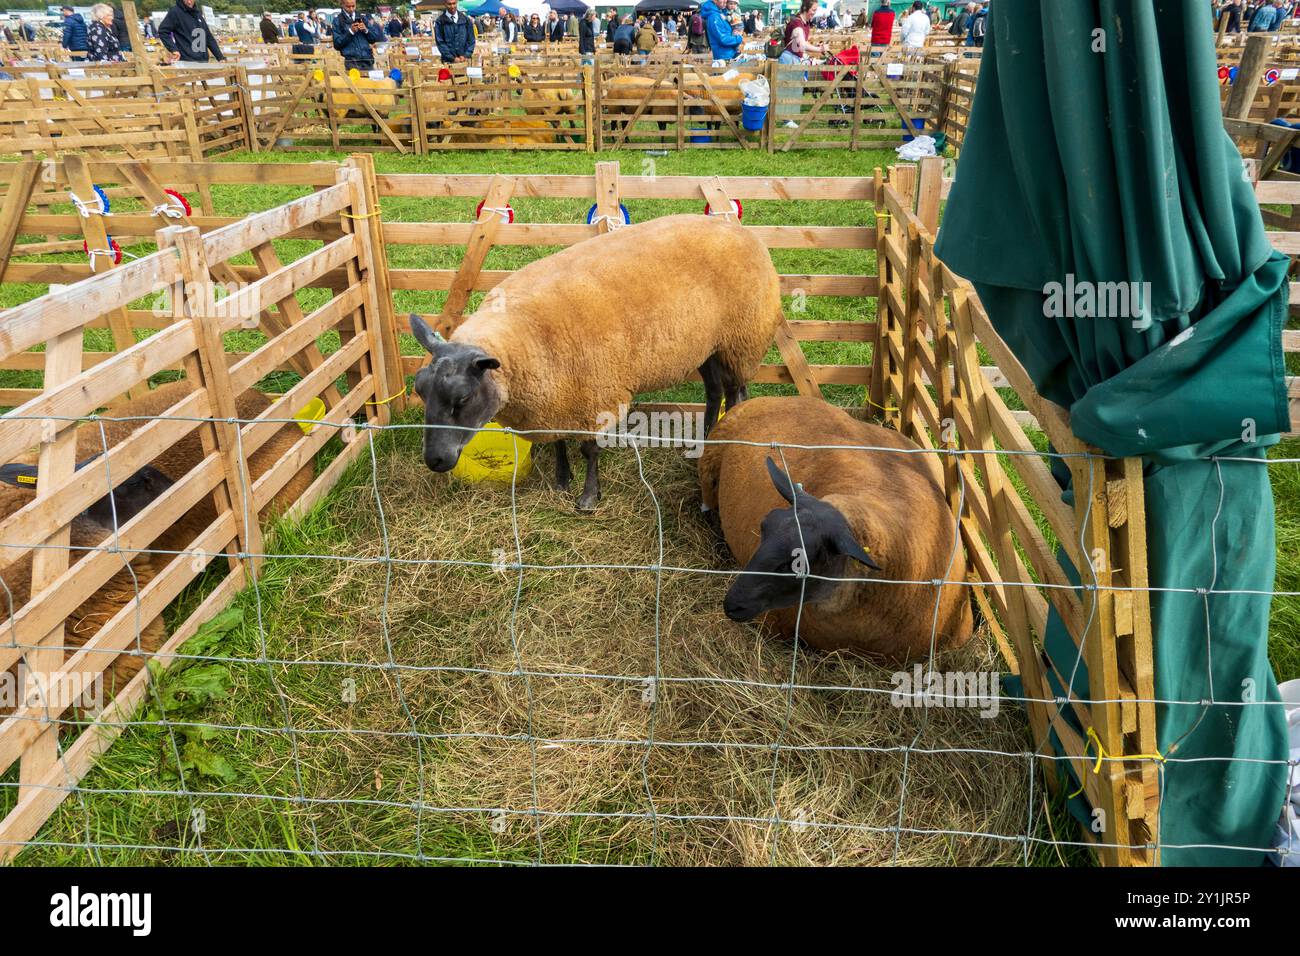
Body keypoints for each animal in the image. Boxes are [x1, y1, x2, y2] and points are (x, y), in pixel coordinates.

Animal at [410, 213, 785, 512]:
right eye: (420, 390)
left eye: (462, 398)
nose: (435, 461)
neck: (526, 336)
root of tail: (742, 231)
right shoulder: (556, 396)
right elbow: (559, 441)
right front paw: (561, 481)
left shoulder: (594, 396)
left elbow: (590, 450)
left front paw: (589, 497)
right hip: (706, 344)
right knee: (713, 390)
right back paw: (703, 441)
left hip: (741, 339)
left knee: (736, 393)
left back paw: (722, 441)